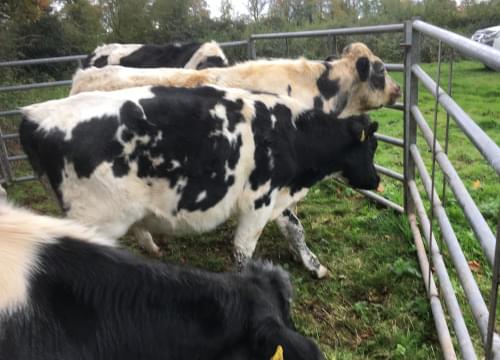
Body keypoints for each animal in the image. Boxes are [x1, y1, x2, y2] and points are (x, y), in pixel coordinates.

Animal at [19, 84, 378, 278]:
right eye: (372, 146)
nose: (376, 181)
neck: (291, 133)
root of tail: (34, 115)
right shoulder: (259, 198)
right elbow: (243, 249)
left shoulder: (279, 196)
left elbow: (296, 230)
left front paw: (315, 266)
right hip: (95, 219)